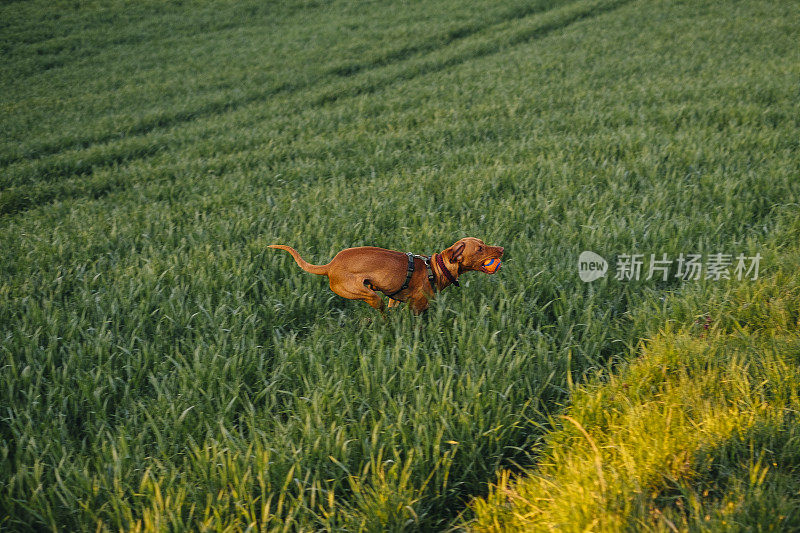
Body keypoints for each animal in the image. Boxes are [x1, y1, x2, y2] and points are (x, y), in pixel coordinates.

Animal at [272, 236, 504, 314]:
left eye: (484, 244)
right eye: (480, 249)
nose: (501, 249)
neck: (436, 269)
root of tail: (330, 266)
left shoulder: (396, 299)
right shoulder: (417, 307)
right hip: (369, 295)